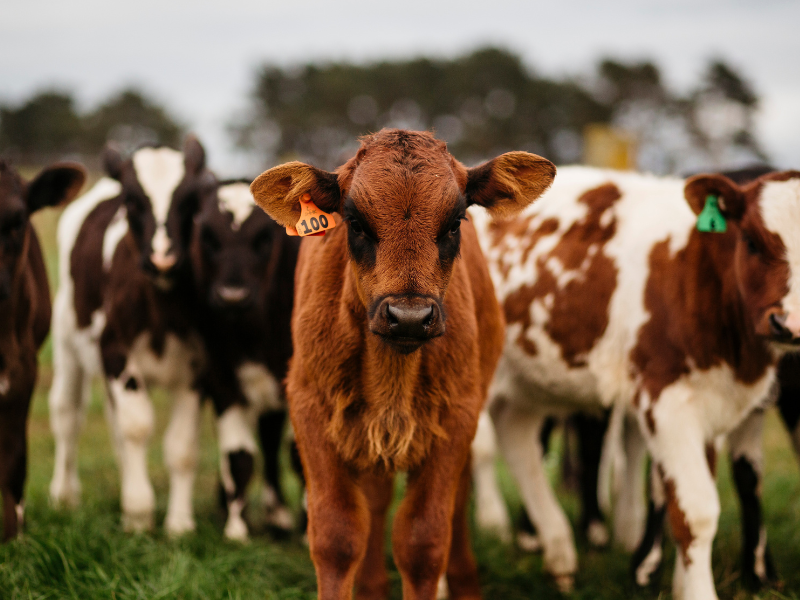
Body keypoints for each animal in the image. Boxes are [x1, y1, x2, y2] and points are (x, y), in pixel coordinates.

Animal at [50, 137, 216, 536]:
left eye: (190, 199)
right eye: (132, 201)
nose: (162, 258)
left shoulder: (199, 368)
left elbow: (181, 447)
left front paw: (179, 523)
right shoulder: (115, 353)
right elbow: (137, 428)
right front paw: (139, 515)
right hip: (66, 343)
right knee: (67, 414)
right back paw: (64, 495)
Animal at [191, 178, 300, 540]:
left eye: (264, 237)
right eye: (208, 236)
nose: (232, 296)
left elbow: (298, 457)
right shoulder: (222, 380)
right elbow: (238, 457)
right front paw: (236, 528)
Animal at [252, 129, 556, 596]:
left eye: (455, 222)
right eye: (355, 222)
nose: (409, 316)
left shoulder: (456, 418)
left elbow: (423, 540)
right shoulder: (310, 409)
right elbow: (337, 536)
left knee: (456, 500)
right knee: (375, 501)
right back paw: (372, 585)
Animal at [468, 168, 800, 600]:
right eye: (752, 241)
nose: (789, 323)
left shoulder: (712, 406)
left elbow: (684, 501)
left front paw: (679, 586)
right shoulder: (666, 400)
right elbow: (696, 512)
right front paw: (696, 591)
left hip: (525, 385)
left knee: (518, 441)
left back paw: (559, 555)